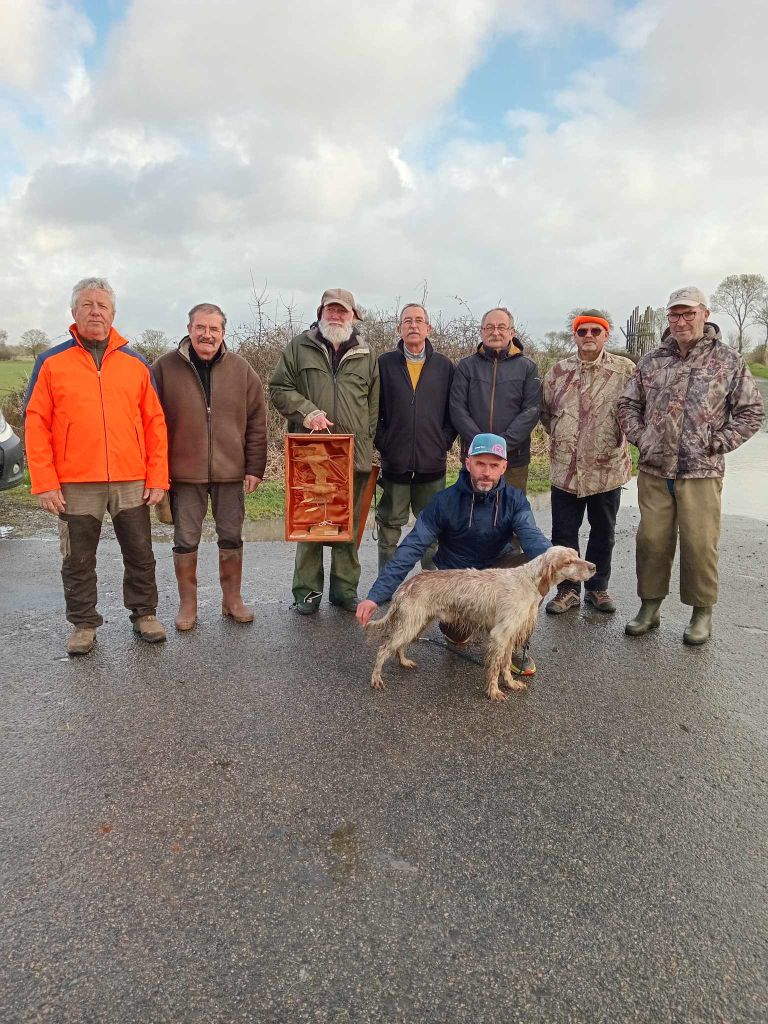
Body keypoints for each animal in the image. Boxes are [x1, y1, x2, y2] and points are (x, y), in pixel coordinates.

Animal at [364, 548, 593, 700]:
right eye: (568, 561)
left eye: (577, 555)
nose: (594, 566)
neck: (528, 581)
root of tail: (405, 585)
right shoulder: (499, 636)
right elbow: (495, 668)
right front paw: (494, 692)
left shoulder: (510, 636)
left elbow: (505, 666)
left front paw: (510, 684)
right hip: (411, 623)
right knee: (383, 649)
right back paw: (376, 679)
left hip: (416, 623)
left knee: (398, 647)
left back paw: (404, 662)